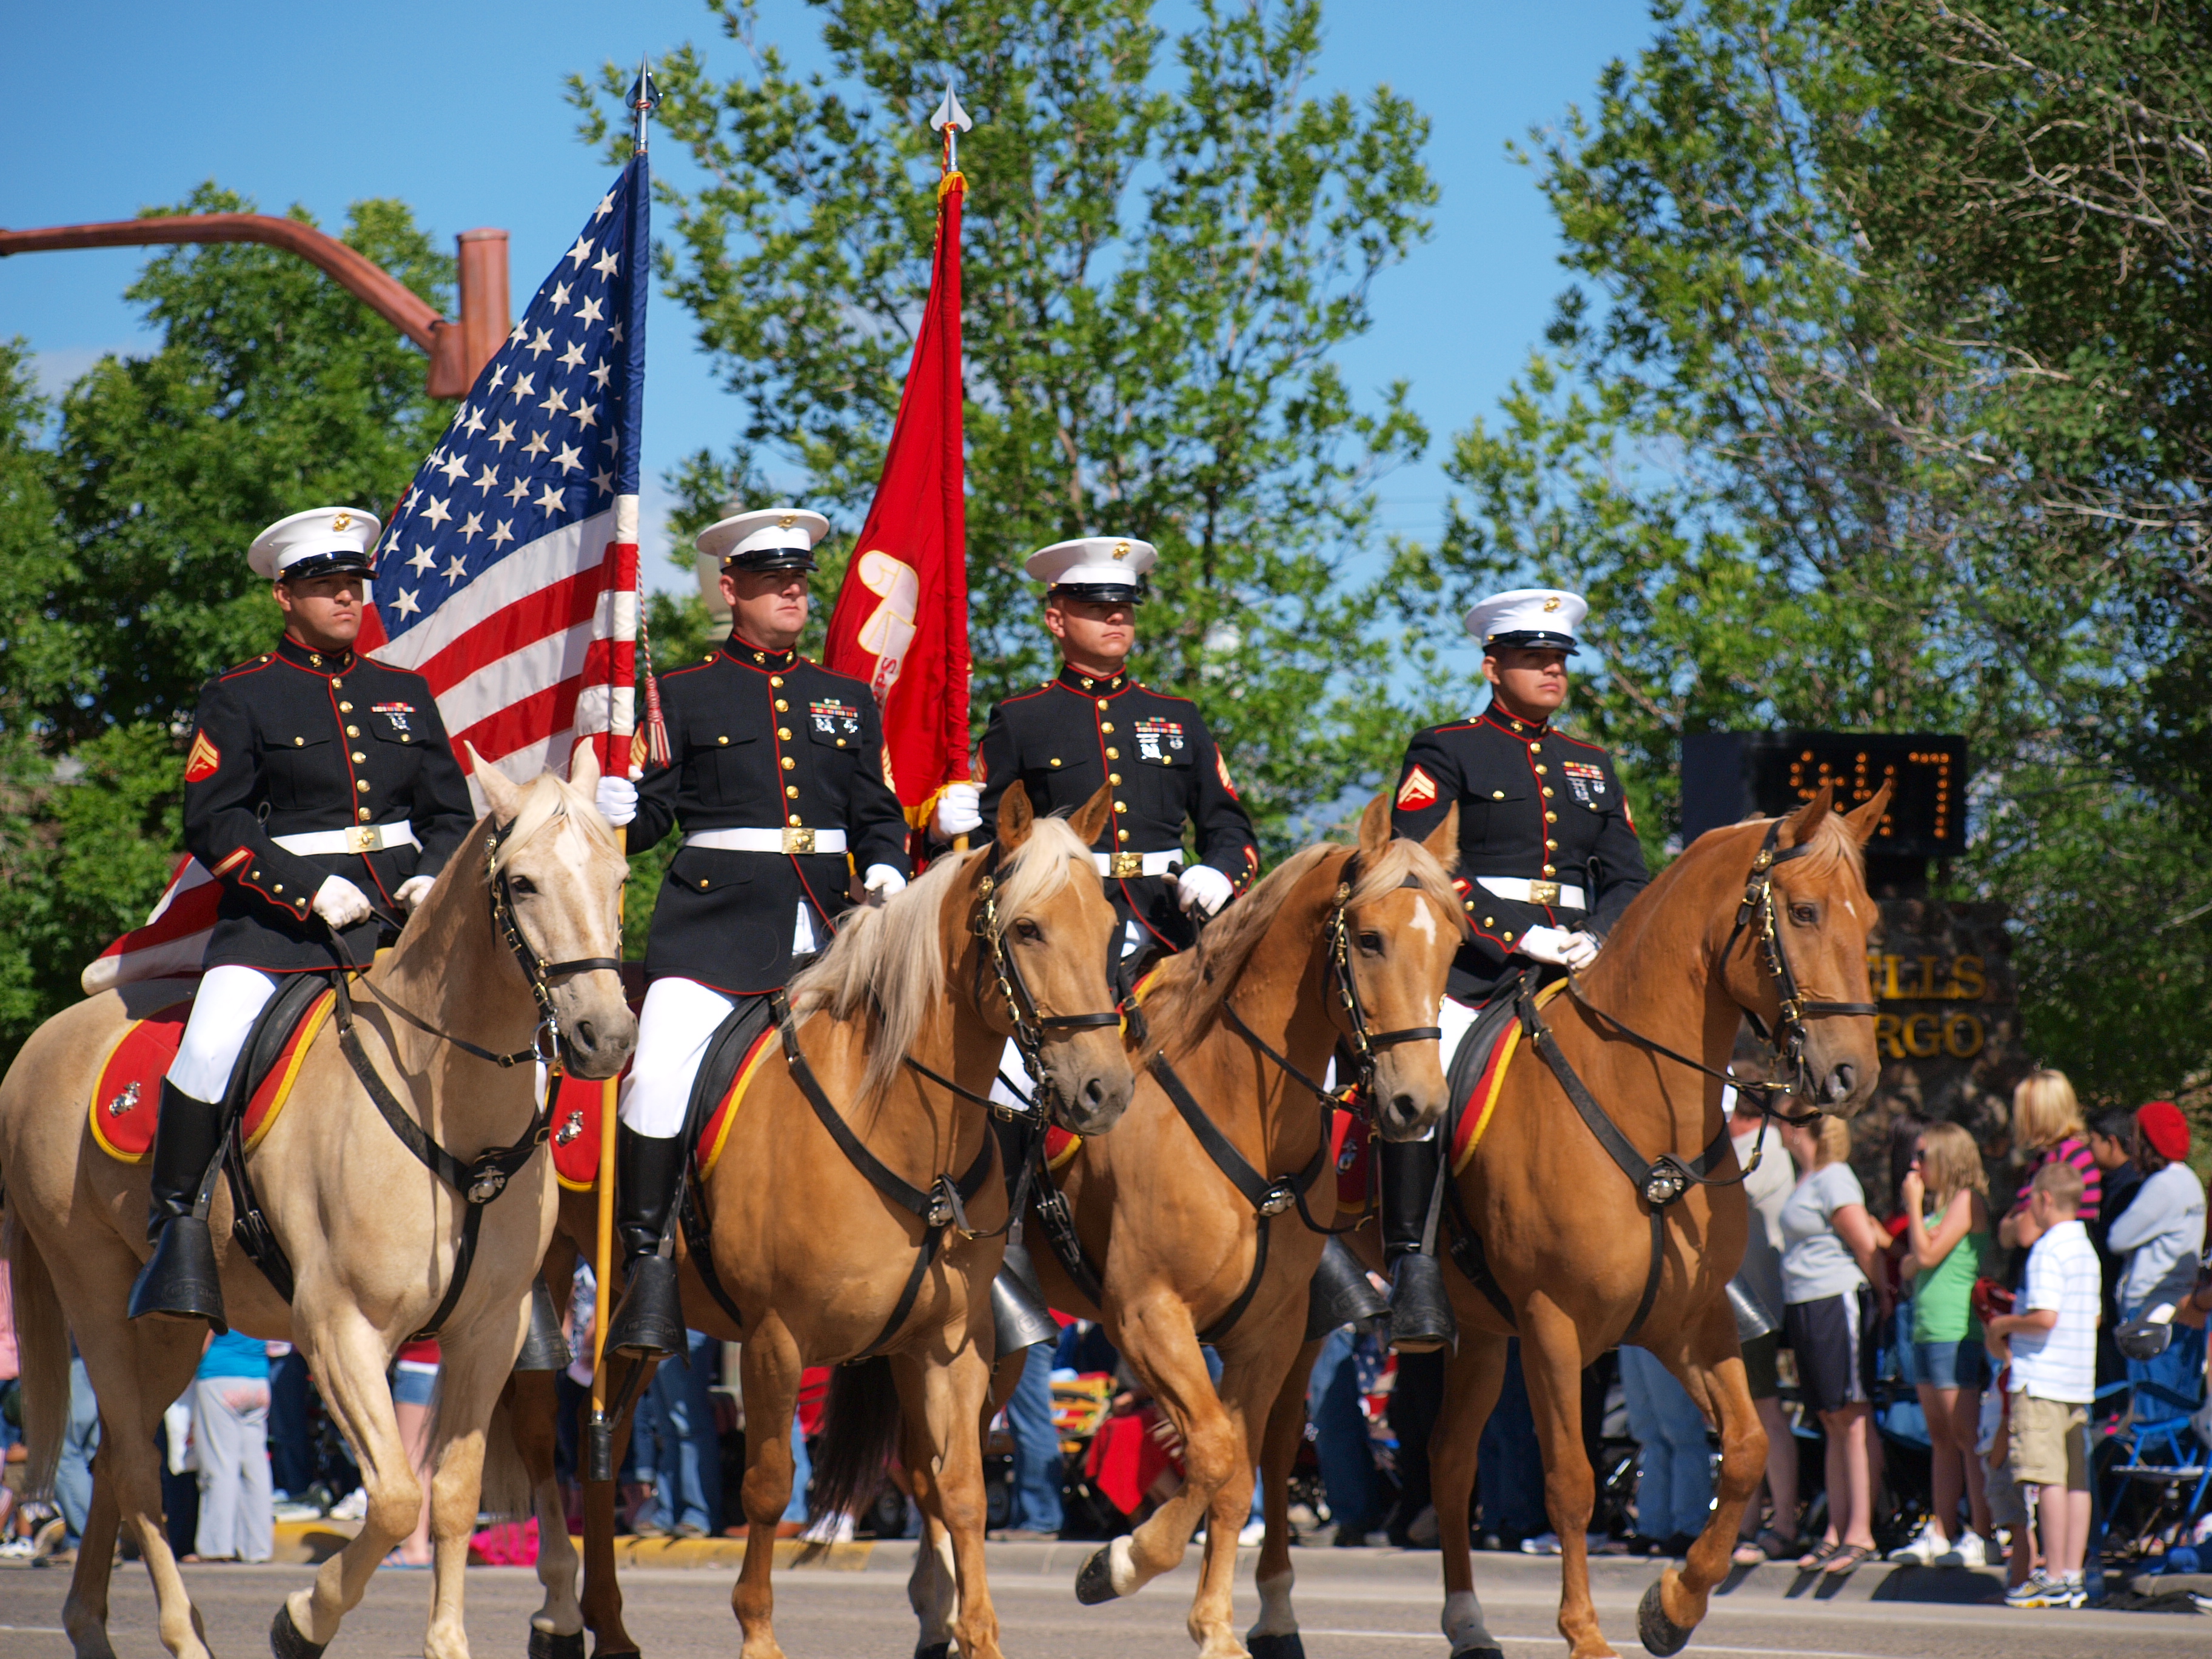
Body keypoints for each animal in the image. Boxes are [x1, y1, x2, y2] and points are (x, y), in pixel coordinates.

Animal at [2, 760, 641, 1659]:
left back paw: (90, 1626)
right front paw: (304, 1618)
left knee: (113, 1464)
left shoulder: (489, 1332)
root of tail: (38, 1045)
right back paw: (181, 1632)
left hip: (169, 1328)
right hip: (92, 1294)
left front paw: (447, 1642)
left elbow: (451, 1494)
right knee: (131, 1464)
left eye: (618, 877)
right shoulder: (339, 1329)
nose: (604, 1037)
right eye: (521, 882)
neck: (456, 1118)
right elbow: (398, 1498)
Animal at [493, 787, 1132, 1659]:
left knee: (607, 1444)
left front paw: (977, 1634)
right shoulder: (776, 1337)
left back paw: (612, 1626)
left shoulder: (948, 1343)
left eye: (1110, 926)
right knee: (543, 1437)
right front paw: (758, 1634)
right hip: (545, 1278)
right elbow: (768, 1486)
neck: (900, 1124)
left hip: (634, 1316)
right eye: (1028, 928)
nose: (1106, 1090)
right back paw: (559, 1615)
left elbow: (961, 1487)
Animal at [1008, 791, 1469, 1659]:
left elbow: (1233, 1466)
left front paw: (1214, 1625)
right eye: (1368, 938)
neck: (1233, 1108)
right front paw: (1120, 1563)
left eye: (1455, 943)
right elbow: (1219, 1452)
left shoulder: (1268, 1331)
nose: (1417, 1104)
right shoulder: (1146, 1315)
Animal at [1256, 787, 1893, 1659]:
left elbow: (1746, 1451)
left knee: (1448, 1460)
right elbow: (1571, 1480)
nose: (1851, 1073)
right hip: (1308, 1316)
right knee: (1277, 1437)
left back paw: (1468, 1623)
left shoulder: (1689, 1324)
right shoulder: (1554, 1326)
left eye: (1870, 919)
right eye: (1801, 911)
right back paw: (1273, 1616)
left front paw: (1673, 1605)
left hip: (1478, 1330)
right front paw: (1586, 1633)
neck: (1641, 1106)